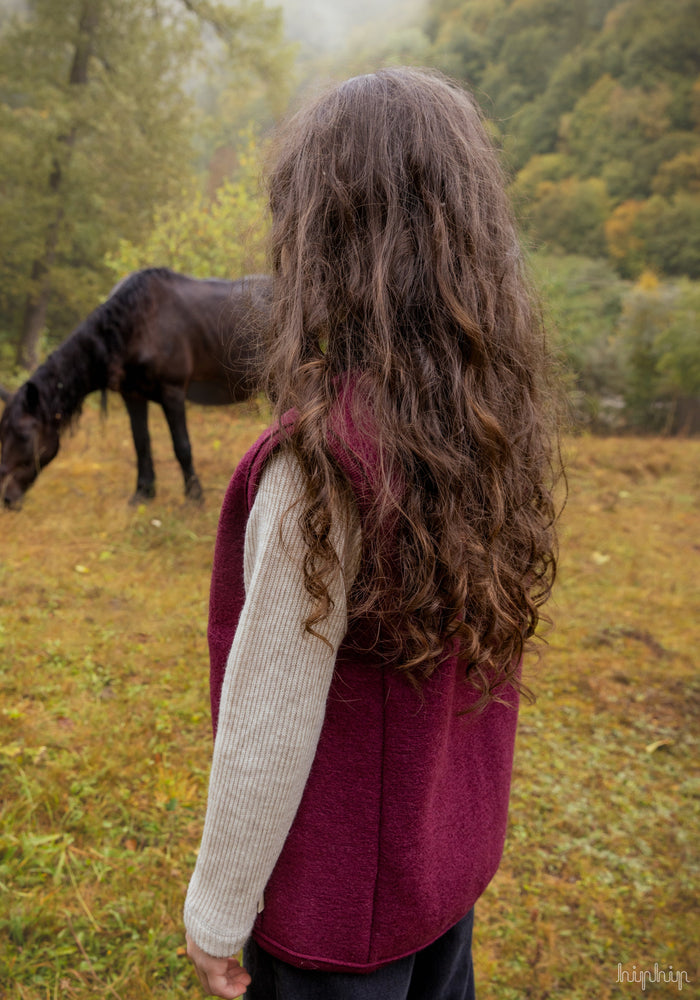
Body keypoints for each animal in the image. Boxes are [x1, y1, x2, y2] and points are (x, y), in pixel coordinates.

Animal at [0, 268, 270, 508]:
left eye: (24, 436)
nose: (7, 499)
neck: (138, 324)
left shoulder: (172, 392)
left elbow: (182, 446)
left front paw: (194, 498)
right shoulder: (133, 396)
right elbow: (141, 444)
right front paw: (143, 494)